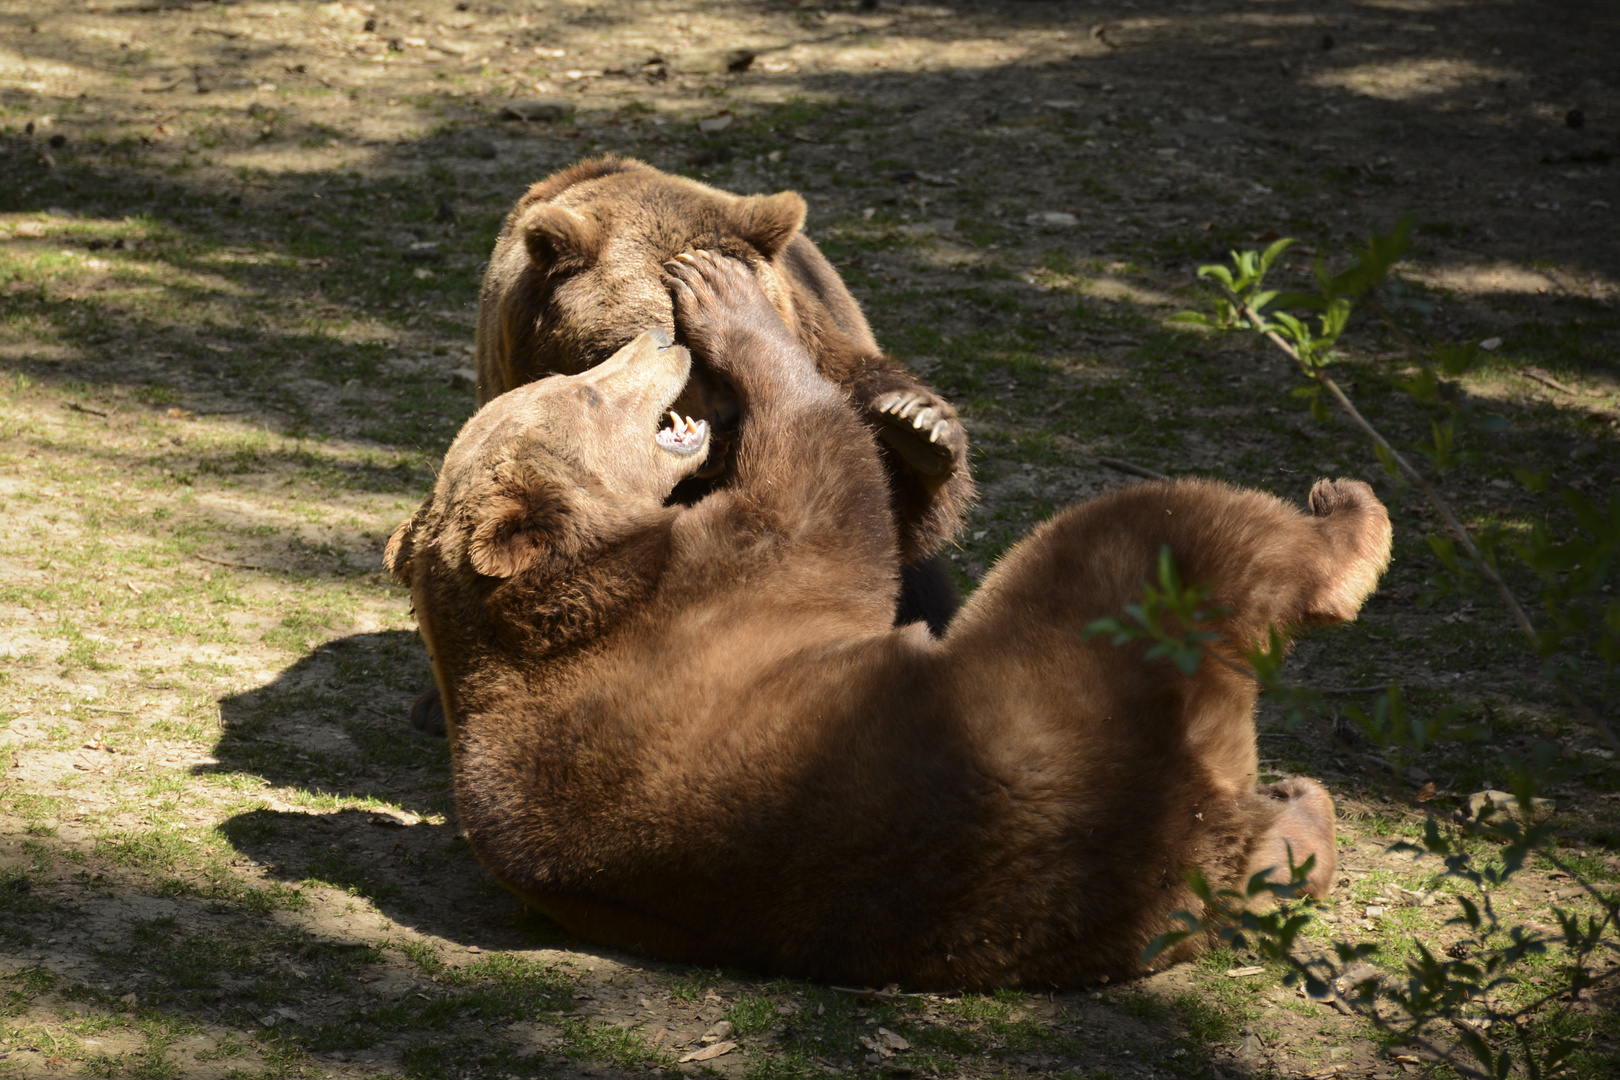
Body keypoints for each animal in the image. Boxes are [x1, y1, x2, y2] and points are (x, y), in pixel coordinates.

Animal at [388, 250, 1393, 990]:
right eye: (592, 387)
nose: (661, 342)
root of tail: (1193, 818)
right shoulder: (706, 591)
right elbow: (829, 502)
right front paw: (727, 295)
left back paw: (1304, 799)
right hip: (1085, 670)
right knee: (1171, 527)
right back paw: (1347, 518)